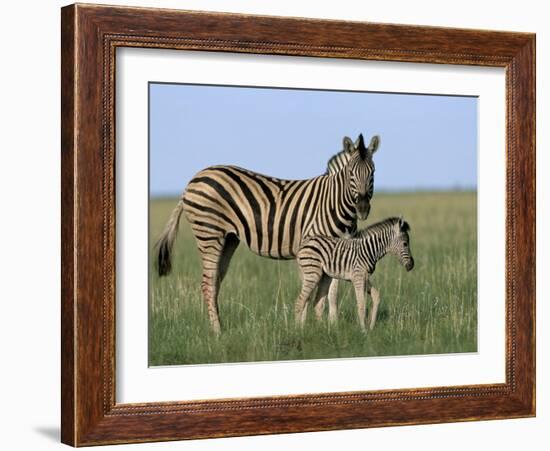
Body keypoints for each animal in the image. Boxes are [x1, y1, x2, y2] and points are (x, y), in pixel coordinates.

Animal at [155, 132, 380, 334]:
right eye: (351, 172)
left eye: (373, 172)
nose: (362, 208)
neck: (333, 203)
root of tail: (194, 179)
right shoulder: (314, 247)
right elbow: (312, 292)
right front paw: (303, 327)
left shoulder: (339, 250)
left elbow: (333, 291)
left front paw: (332, 326)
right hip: (209, 232)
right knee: (207, 283)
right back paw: (217, 332)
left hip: (228, 239)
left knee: (216, 281)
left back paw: (220, 326)